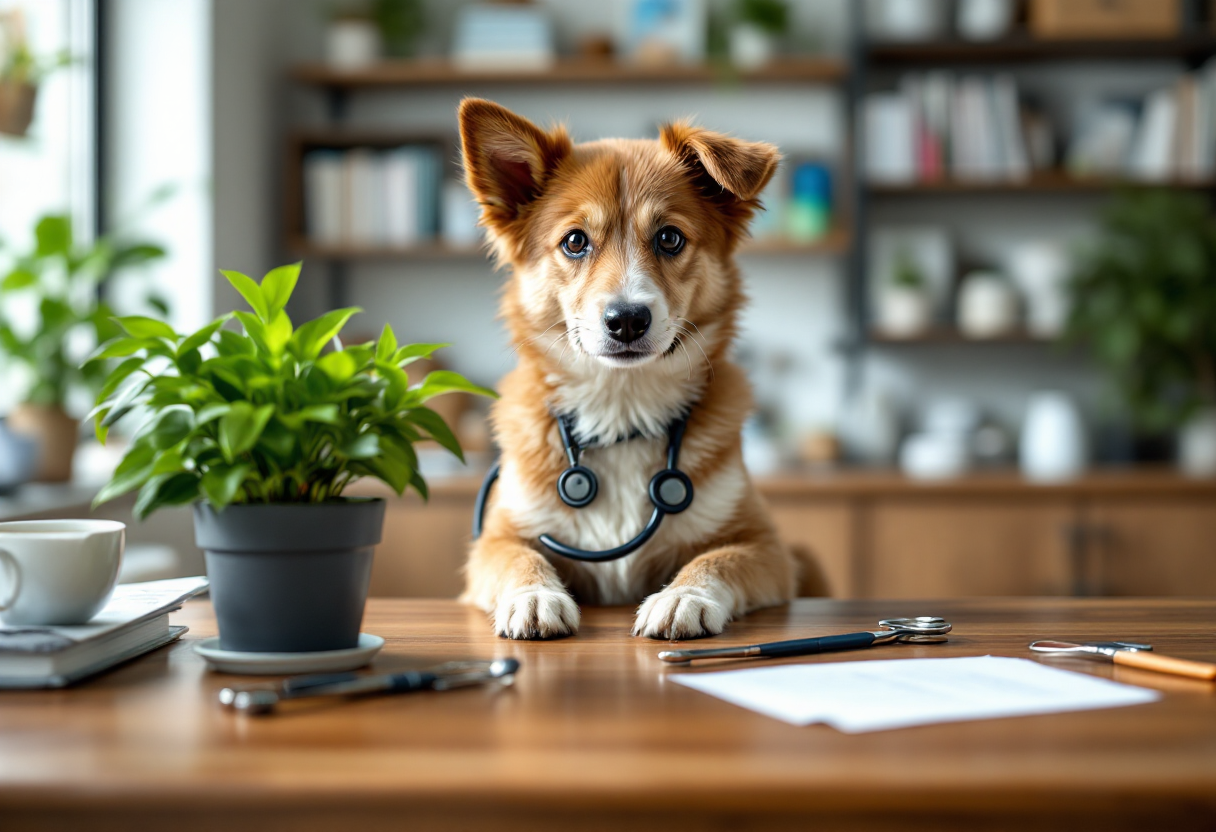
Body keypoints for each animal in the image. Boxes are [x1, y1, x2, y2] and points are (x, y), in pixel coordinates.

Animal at [457, 99, 826, 642]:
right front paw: (533, 596)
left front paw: (683, 597)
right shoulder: (494, 539)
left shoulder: (767, 545)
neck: (622, 407)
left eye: (669, 237)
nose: (627, 319)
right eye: (575, 242)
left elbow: (717, 559)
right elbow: (516, 559)